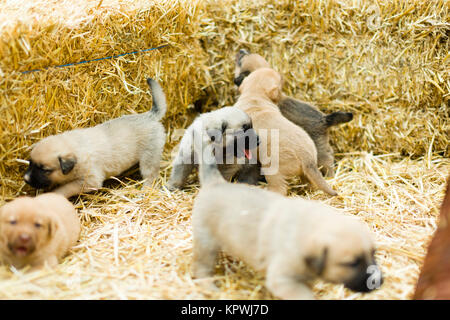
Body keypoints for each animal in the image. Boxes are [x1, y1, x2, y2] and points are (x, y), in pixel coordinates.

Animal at [23, 78, 167, 198]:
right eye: (30, 163)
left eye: (45, 170)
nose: (26, 178)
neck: (74, 147)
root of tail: (150, 116)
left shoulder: (89, 180)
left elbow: (66, 188)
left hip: (149, 157)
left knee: (151, 176)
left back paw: (145, 191)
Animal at [191, 132, 384, 300]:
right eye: (351, 263)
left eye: (373, 253)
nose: (379, 282)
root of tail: (215, 182)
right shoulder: (283, 279)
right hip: (206, 242)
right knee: (202, 267)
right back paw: (210, 287)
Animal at [236, 67, 338, 195]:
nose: (281, 75)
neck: (255, 96)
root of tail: (308, 159)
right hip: (307, 173)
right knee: (311, 183)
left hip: (272, 169)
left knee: (280, 188)